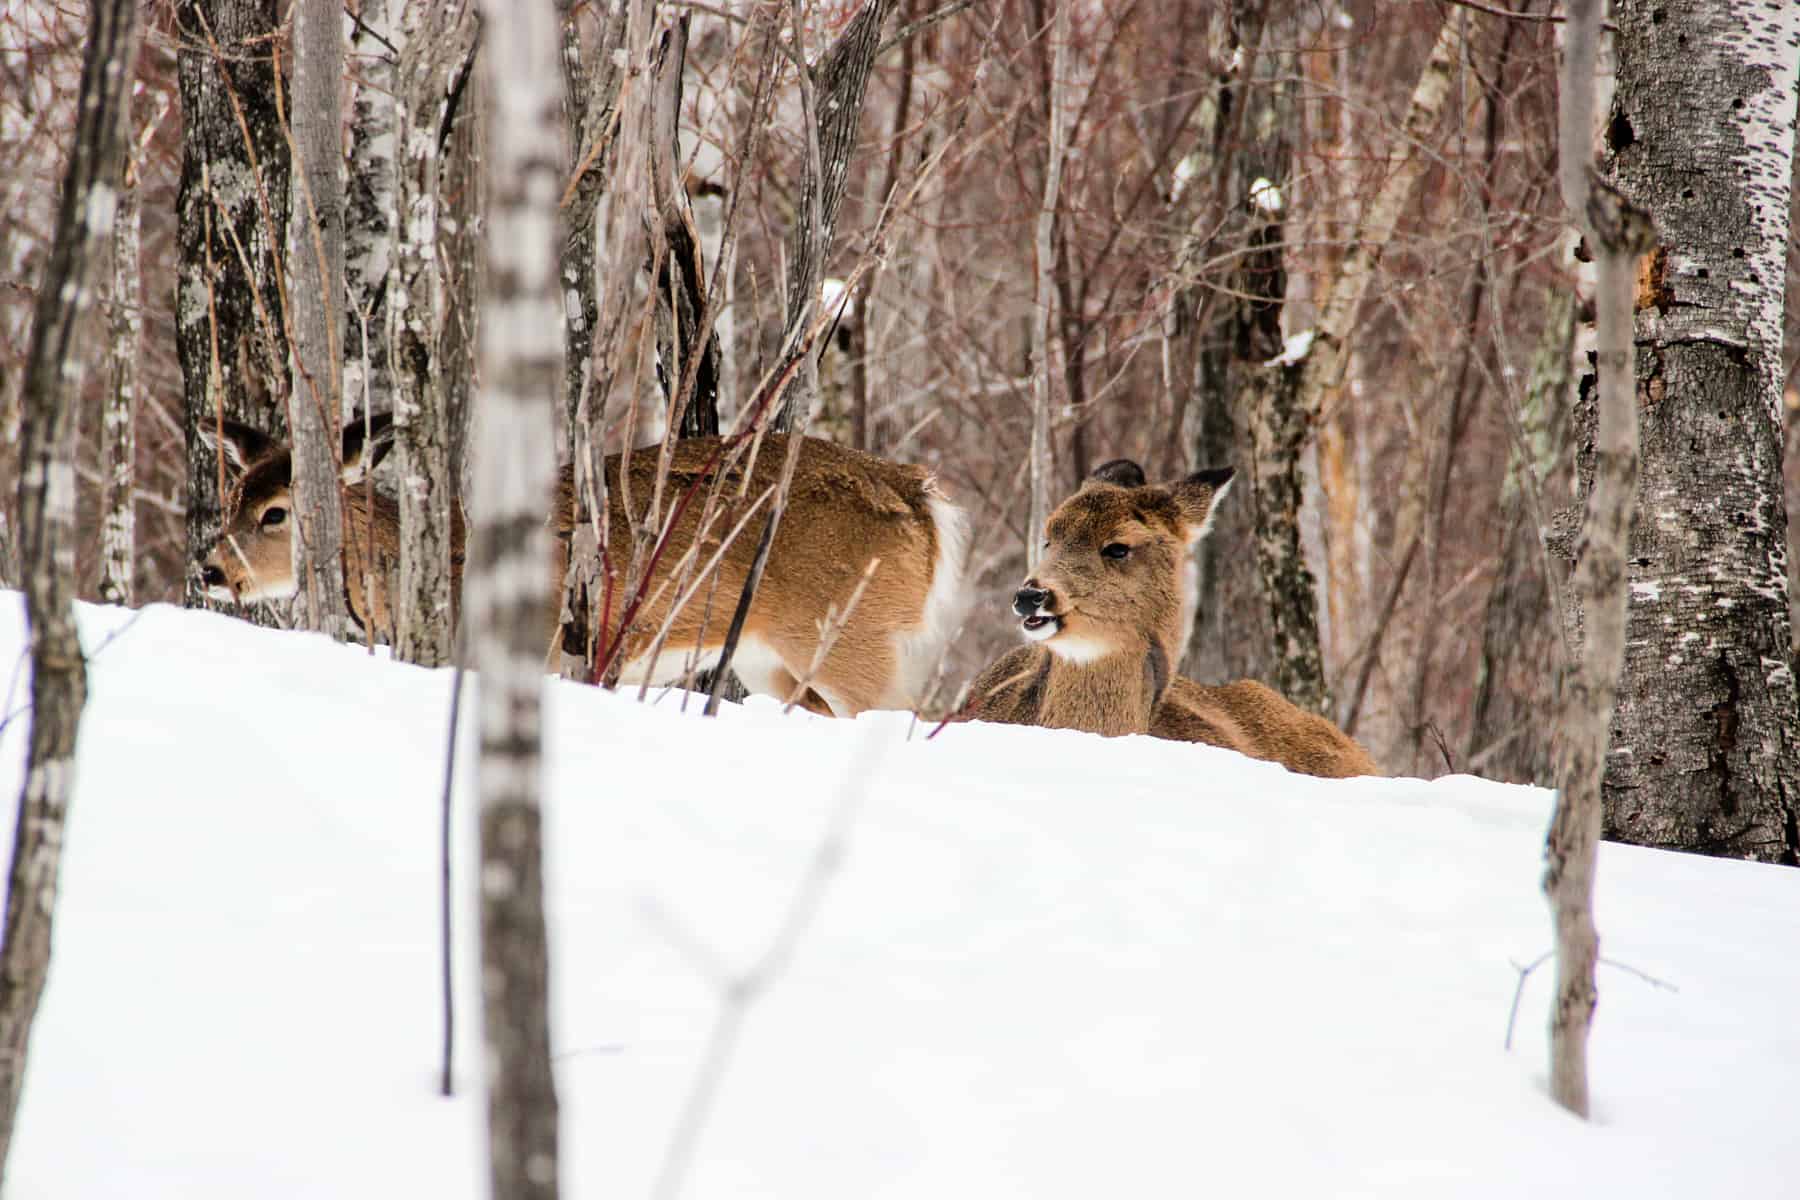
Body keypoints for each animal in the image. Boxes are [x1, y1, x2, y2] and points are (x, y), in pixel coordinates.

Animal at [197, 415, 972, 712]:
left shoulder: (537, 646)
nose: (210, 569)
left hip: (854, 637)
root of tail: (923, 496)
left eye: (276, 513)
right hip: (768, 659)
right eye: (232, 495)